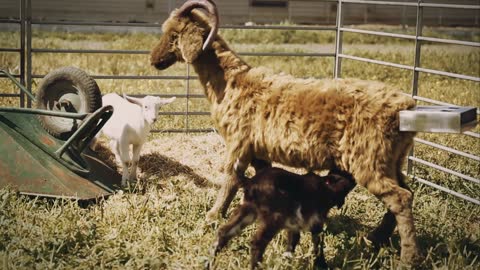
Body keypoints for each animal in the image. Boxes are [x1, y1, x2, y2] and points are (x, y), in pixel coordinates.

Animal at [212, 168, 354, 268]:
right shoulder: (316, 221)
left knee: (224, 232)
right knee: (257, 243)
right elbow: (318, 244)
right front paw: (322, 265)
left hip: (247, 210)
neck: (325, 188)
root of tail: (252, 183)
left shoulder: (294, 224)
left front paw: (287, 262)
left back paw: (211, 262)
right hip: (273, 218)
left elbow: (292, 243)